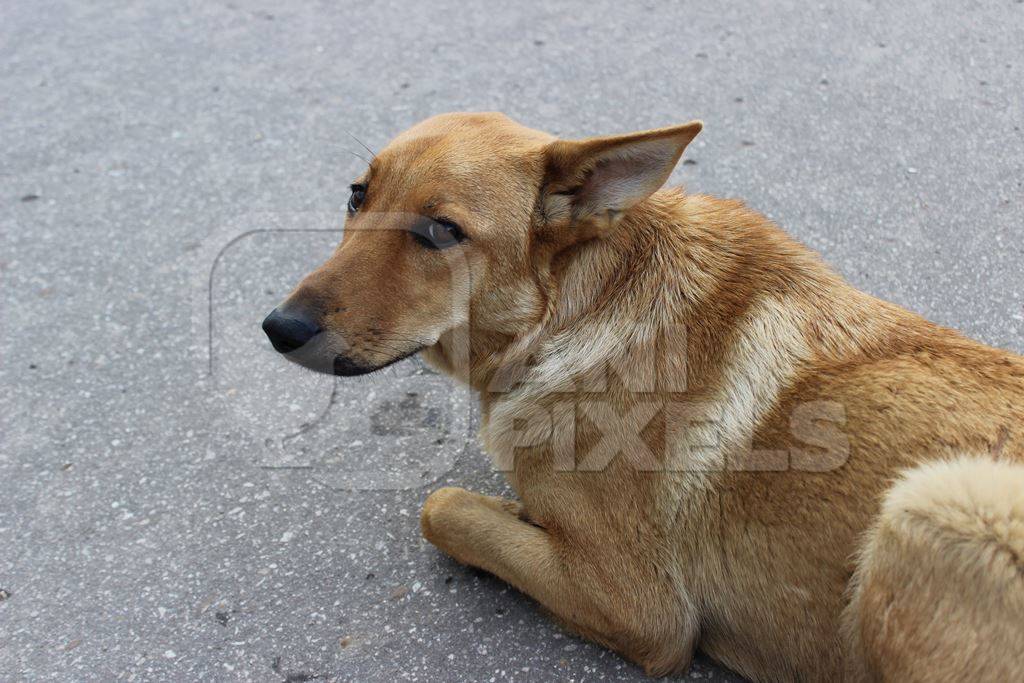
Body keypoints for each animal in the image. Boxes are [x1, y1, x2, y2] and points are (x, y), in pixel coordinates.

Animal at [264, 113, 1024, 683]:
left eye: (440, 231)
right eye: (357, 195)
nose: (278, 327)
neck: (574, 310)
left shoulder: (643, 612)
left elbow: (444, 507)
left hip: (934, 499)